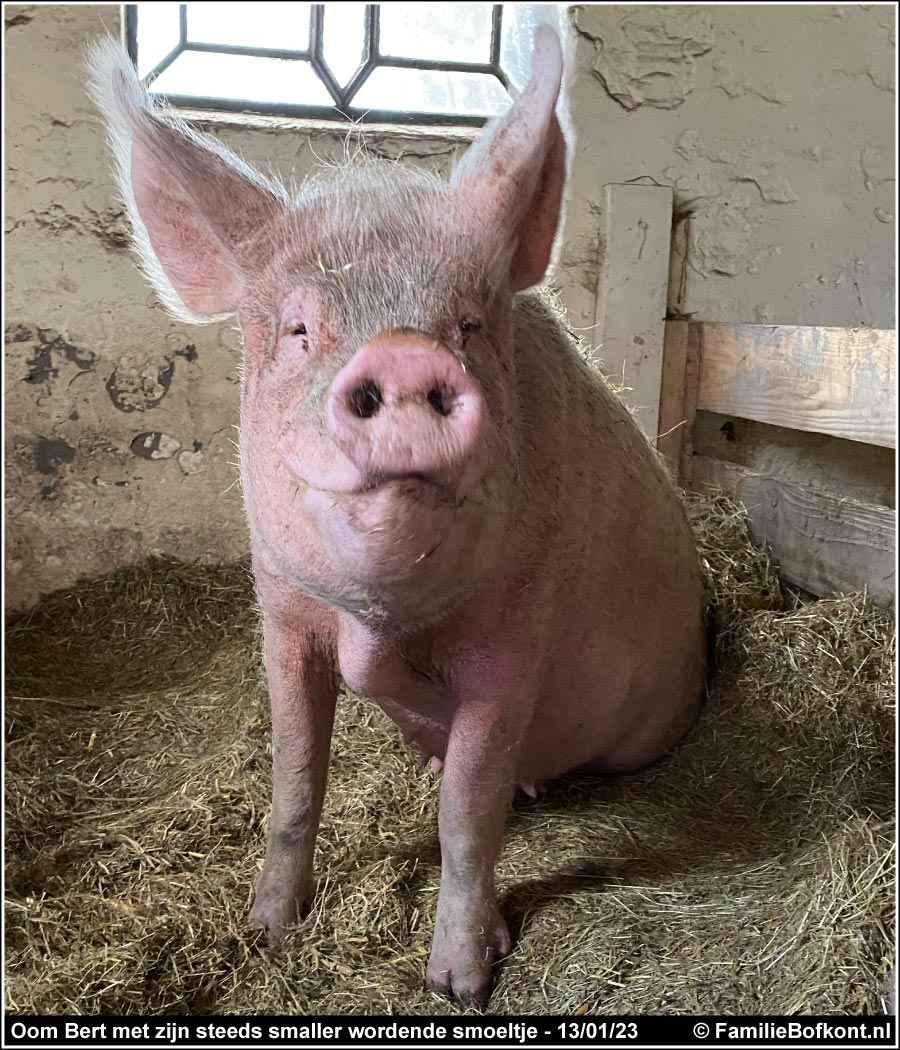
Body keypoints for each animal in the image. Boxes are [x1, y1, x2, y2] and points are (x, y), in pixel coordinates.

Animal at [92, 28, 709, 1003]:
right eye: (299, 330)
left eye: (469, 326)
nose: (404, 354)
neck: (379, 623)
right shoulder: (281, 616)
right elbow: (296, 775)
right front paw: (268, 930)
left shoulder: (516, 640)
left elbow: (468, 812)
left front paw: (460, 986)